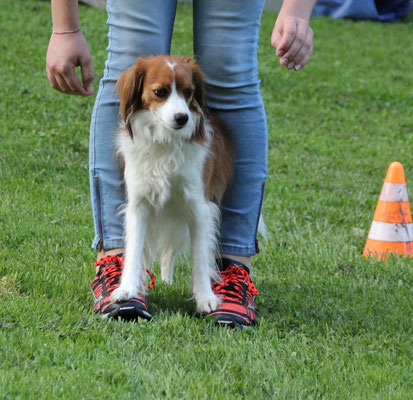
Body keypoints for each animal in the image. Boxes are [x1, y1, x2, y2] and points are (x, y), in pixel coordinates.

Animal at [109, 55, 233, 312]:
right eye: (160, 92)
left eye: (188, 92)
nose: (182, 118)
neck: (165, 142)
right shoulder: (138, 206)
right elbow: (134, 250)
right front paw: (127, 289)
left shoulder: (199, 208)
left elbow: (200, 258)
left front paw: (205, 297)